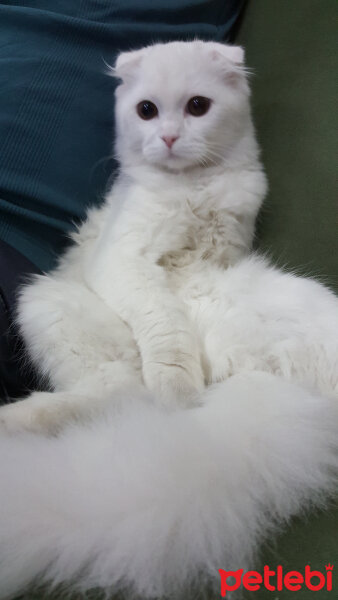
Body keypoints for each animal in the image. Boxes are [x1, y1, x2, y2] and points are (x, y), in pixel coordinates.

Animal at [0, 42, 338, 600]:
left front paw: (179, 377)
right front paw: (177, 375)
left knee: (122, 394)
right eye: (146, 110)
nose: (170, 137)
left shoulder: (224, 248)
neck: (193, 190)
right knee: (119, 389)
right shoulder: (124, 263)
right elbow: (164, 320)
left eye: (197, 106)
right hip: (48, 305)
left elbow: (174, 313)